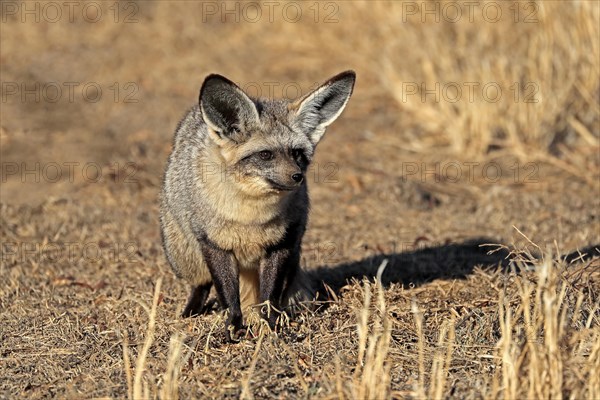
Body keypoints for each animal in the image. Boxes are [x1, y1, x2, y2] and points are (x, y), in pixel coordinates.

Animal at [159, 71, 356, 340]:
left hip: (294, 254)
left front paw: (272, 326)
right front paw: (232, 328)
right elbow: (228, 297)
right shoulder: (215, 244)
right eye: (265, 155)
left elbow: (269, 298)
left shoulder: (281, 244)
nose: (297, 177)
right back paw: (191, 311)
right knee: (202, 285)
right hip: (185, 256)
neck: (251, 218)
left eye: (297, 153)